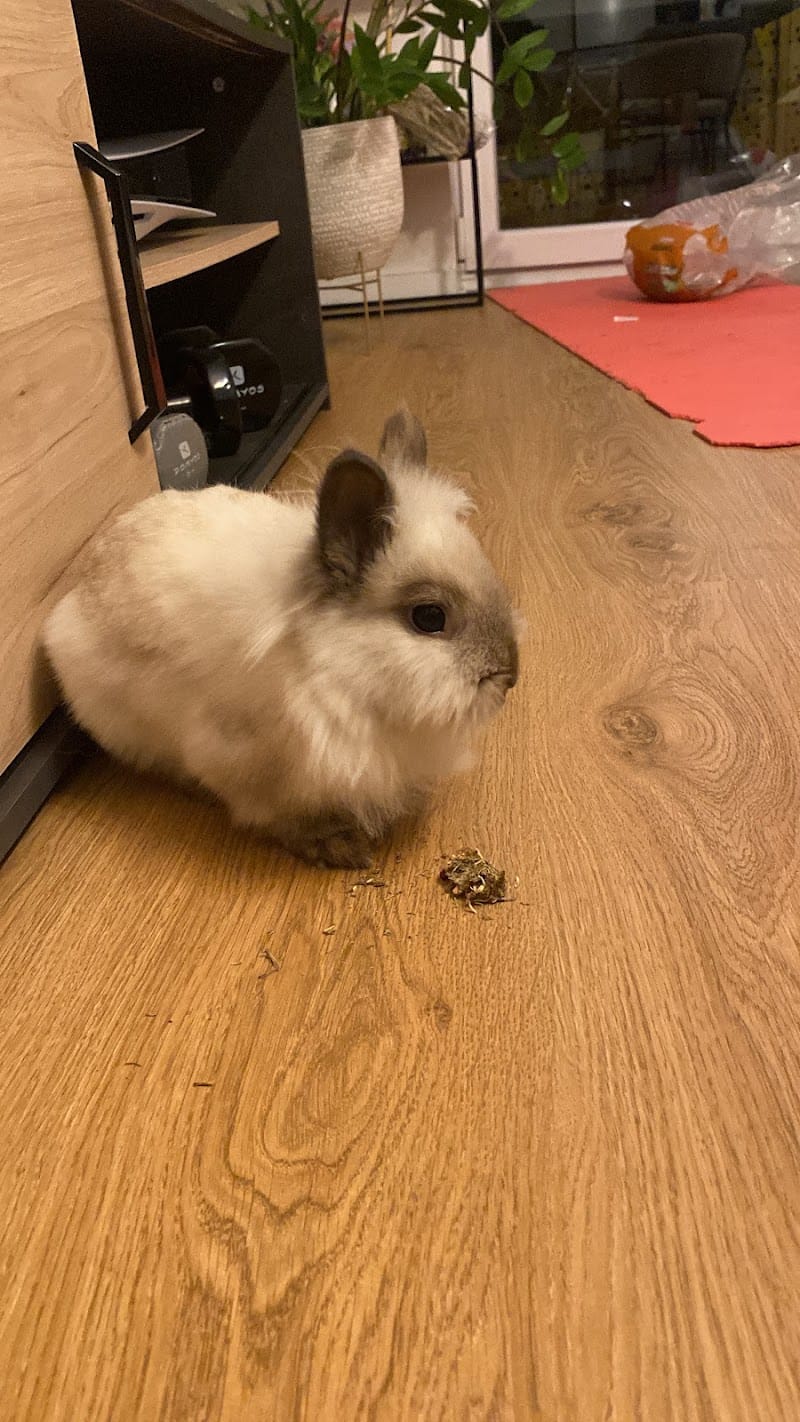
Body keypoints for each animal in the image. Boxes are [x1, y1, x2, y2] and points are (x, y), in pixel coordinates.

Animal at [42, 410, 518, 868]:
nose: (508, 677)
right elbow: (279, 816)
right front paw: (338, 845)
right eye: (429, 617)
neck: (336, 671)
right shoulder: (245, 762)